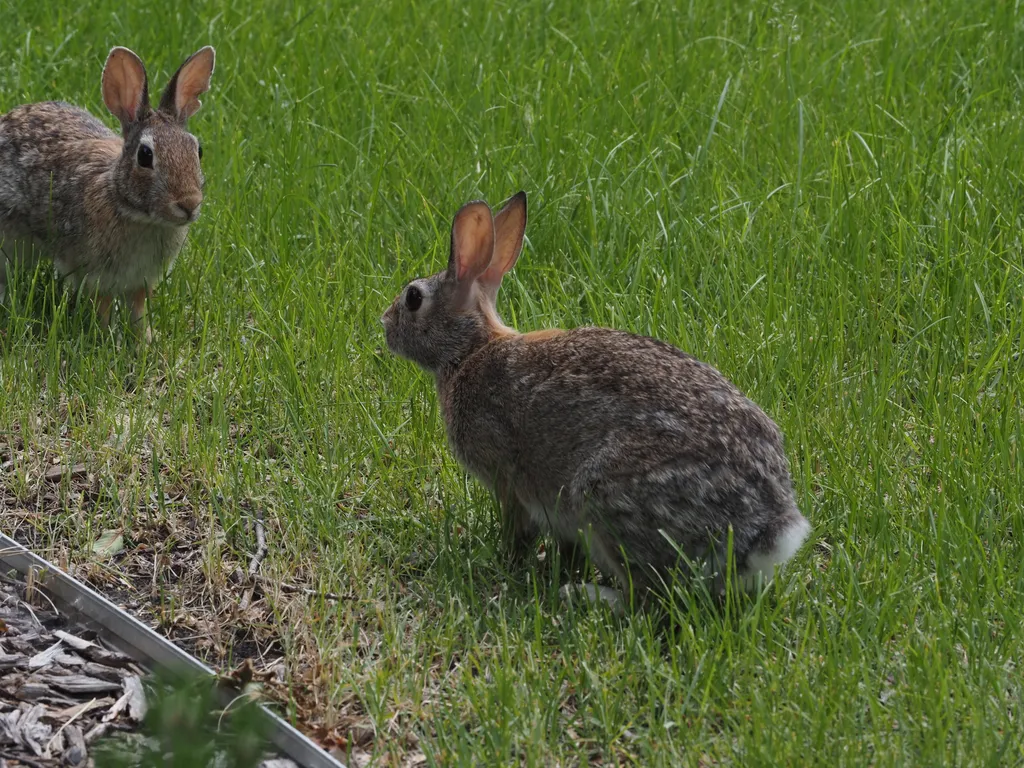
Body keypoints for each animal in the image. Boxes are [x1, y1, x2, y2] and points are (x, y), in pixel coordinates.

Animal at [0, 45, 216, 341]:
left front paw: (146, 341)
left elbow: (138, 310)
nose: (189, 204)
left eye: (198, 150)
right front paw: (106, 338)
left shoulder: (141, 280)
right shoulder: (96, 274)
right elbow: (102, 306)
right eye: (145, 156)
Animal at [381, 191, 811, 611]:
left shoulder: (509, 480)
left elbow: (517, 528)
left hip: (607, 501)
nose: (384, 324)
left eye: (413, 298)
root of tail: (765, 529)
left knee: (649, 598)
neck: (470, 350)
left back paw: (585, 595)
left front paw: (508, 560)